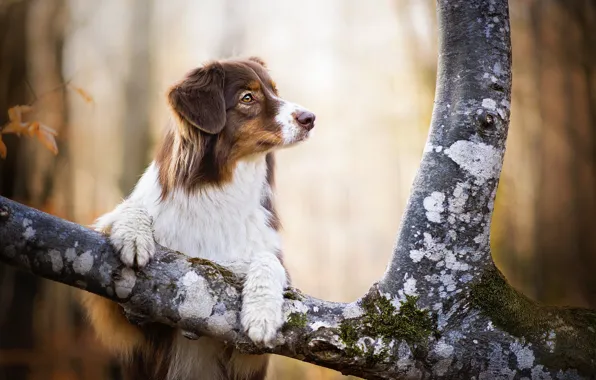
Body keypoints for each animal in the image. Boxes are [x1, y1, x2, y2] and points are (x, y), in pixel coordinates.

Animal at [80, 56, 316, 380]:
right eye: (247, 97)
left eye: (274, 90)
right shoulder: (124, 317)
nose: (310, 117)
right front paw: (133, 236)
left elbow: (268, 260)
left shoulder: (248, 357)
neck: (219, 191)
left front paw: (261, 313)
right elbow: (128, 210)